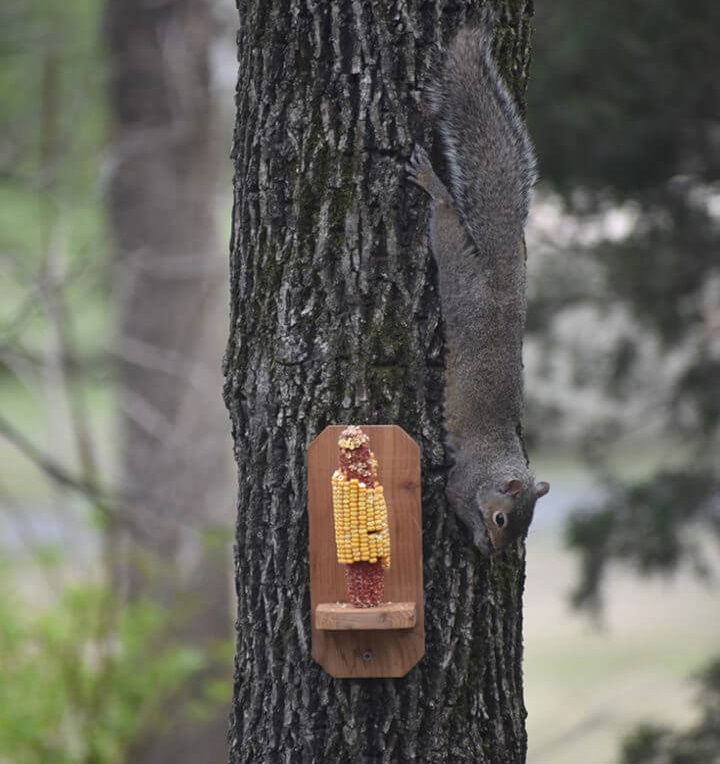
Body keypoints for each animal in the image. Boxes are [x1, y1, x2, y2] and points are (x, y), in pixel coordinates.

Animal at [408, 13, 548, 556]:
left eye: (527, 526)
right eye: (502, 518)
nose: (494, 552)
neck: (496, 458)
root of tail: (502, 277)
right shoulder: (461, 480)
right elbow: (452, 495)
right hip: (458, 279)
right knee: (446, 219)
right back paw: (431, 184)